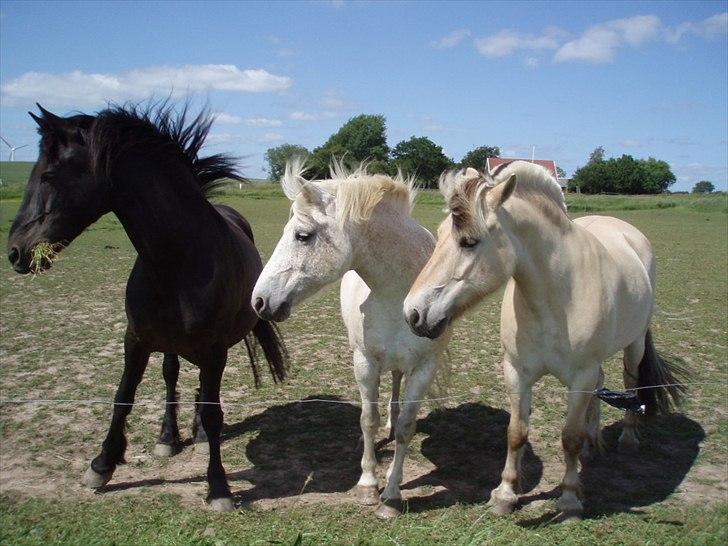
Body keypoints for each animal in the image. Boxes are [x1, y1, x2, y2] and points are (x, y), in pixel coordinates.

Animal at [8, 102, 288, 510]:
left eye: (47, 175)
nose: (15, 251)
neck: (178, 259)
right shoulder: (136, 340)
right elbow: (123, 397)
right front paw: (101, 466)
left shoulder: (214, 349)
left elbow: (213, 412)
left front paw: (218, 486)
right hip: (168, 344)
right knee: (171, 376)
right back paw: (168, 437)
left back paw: (196, 434)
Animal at [253, 158, 452, 520]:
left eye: (303, 236)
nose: (259, 301)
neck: (397, 293)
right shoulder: (365, 361)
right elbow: (367, 420)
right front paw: (367, 486)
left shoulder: (425, 368)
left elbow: (407, 427)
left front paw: (390, 496)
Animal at [404, 160, 684, 520]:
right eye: (438, 236)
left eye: (469, 242)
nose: (413, 313)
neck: (555, 297)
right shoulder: (516, 372)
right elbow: (516, 432)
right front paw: (505, 495)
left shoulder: (580, 376)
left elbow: (569, 437)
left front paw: (569, 500)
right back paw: (593, 443)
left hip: (633, 346)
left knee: (632, 384)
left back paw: (628, 439)